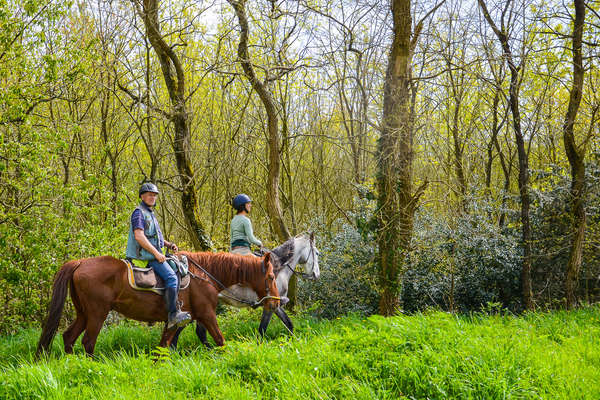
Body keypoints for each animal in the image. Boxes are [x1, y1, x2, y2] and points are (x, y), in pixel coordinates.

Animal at [36, 252, 280, 354]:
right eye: (270, 277)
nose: (276, 303)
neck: (204, 275)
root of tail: (79, 263)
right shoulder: (206, 315)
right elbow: (220, 340)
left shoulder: (175, 321)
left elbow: (165, 345)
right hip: (97, 314)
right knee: (88, 341)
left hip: (83, 313)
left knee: (69, 337)